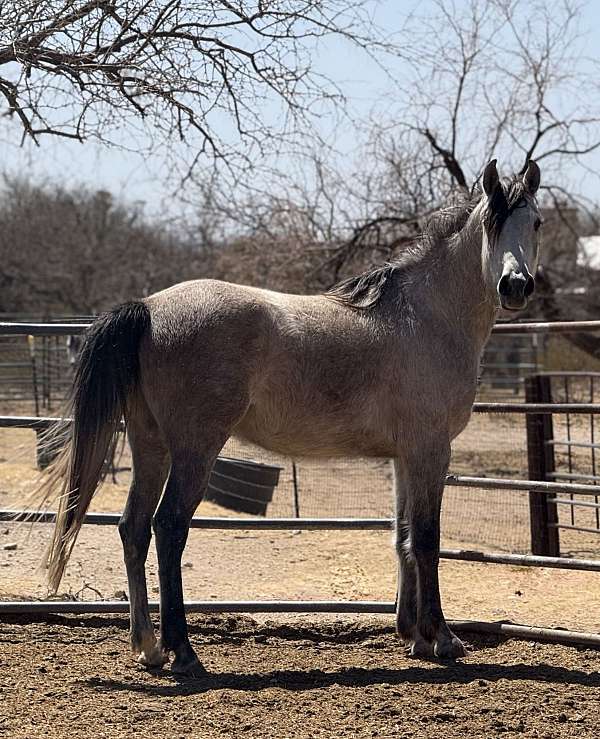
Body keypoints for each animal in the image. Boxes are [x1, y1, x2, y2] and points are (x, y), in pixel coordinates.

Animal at [35, 159, 542, 676]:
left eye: (536, 222)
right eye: (491, 223)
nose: (516, 285)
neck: (425, 318)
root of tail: (149, 308)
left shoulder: (404, 457)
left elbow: (401, 537)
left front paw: (413, 635)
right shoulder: (430, 450)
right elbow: (425, 539)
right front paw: (442, 638)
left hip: (150, 444)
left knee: (133, 528)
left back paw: (149, 647)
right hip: (196, 449)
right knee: (169, 527)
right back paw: (184, 652)